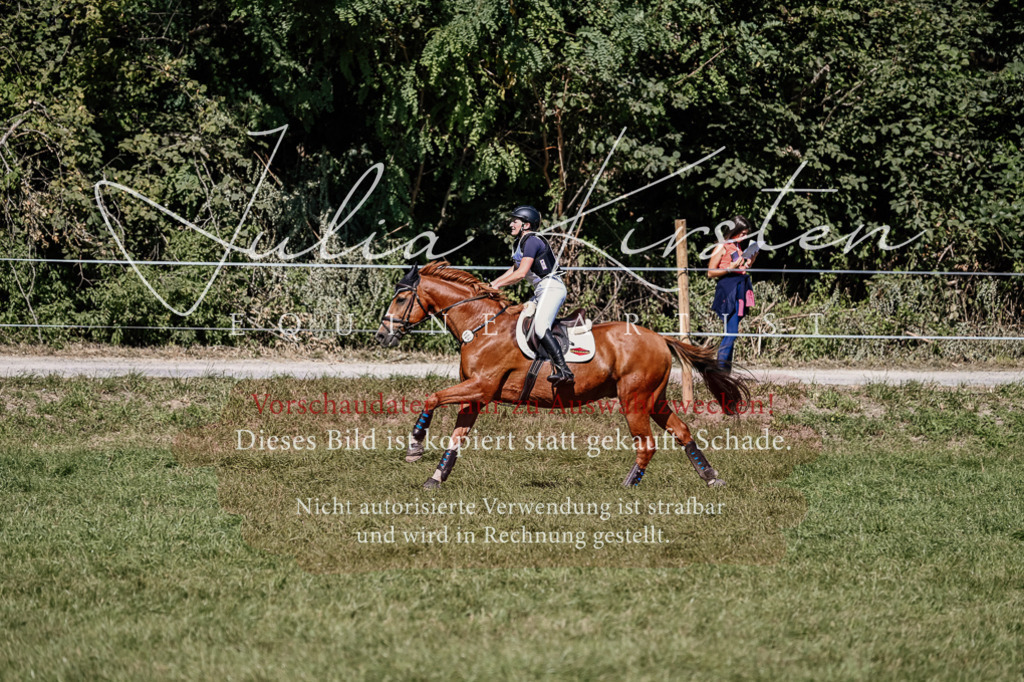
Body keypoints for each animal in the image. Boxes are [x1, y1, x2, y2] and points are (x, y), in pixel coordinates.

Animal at [374, 261, 749, 489]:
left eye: (401, 298)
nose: (382, 336)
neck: (481, 326)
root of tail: (660, 338)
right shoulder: (476, 396)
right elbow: (456, 438)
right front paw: (435, 478)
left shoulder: (479, 387)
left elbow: (432, 397)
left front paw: (415, 446)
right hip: (654, 400)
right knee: (682, 432)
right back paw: (710, 476)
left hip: (634, 399)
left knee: (647, 443)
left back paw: (629, 484)